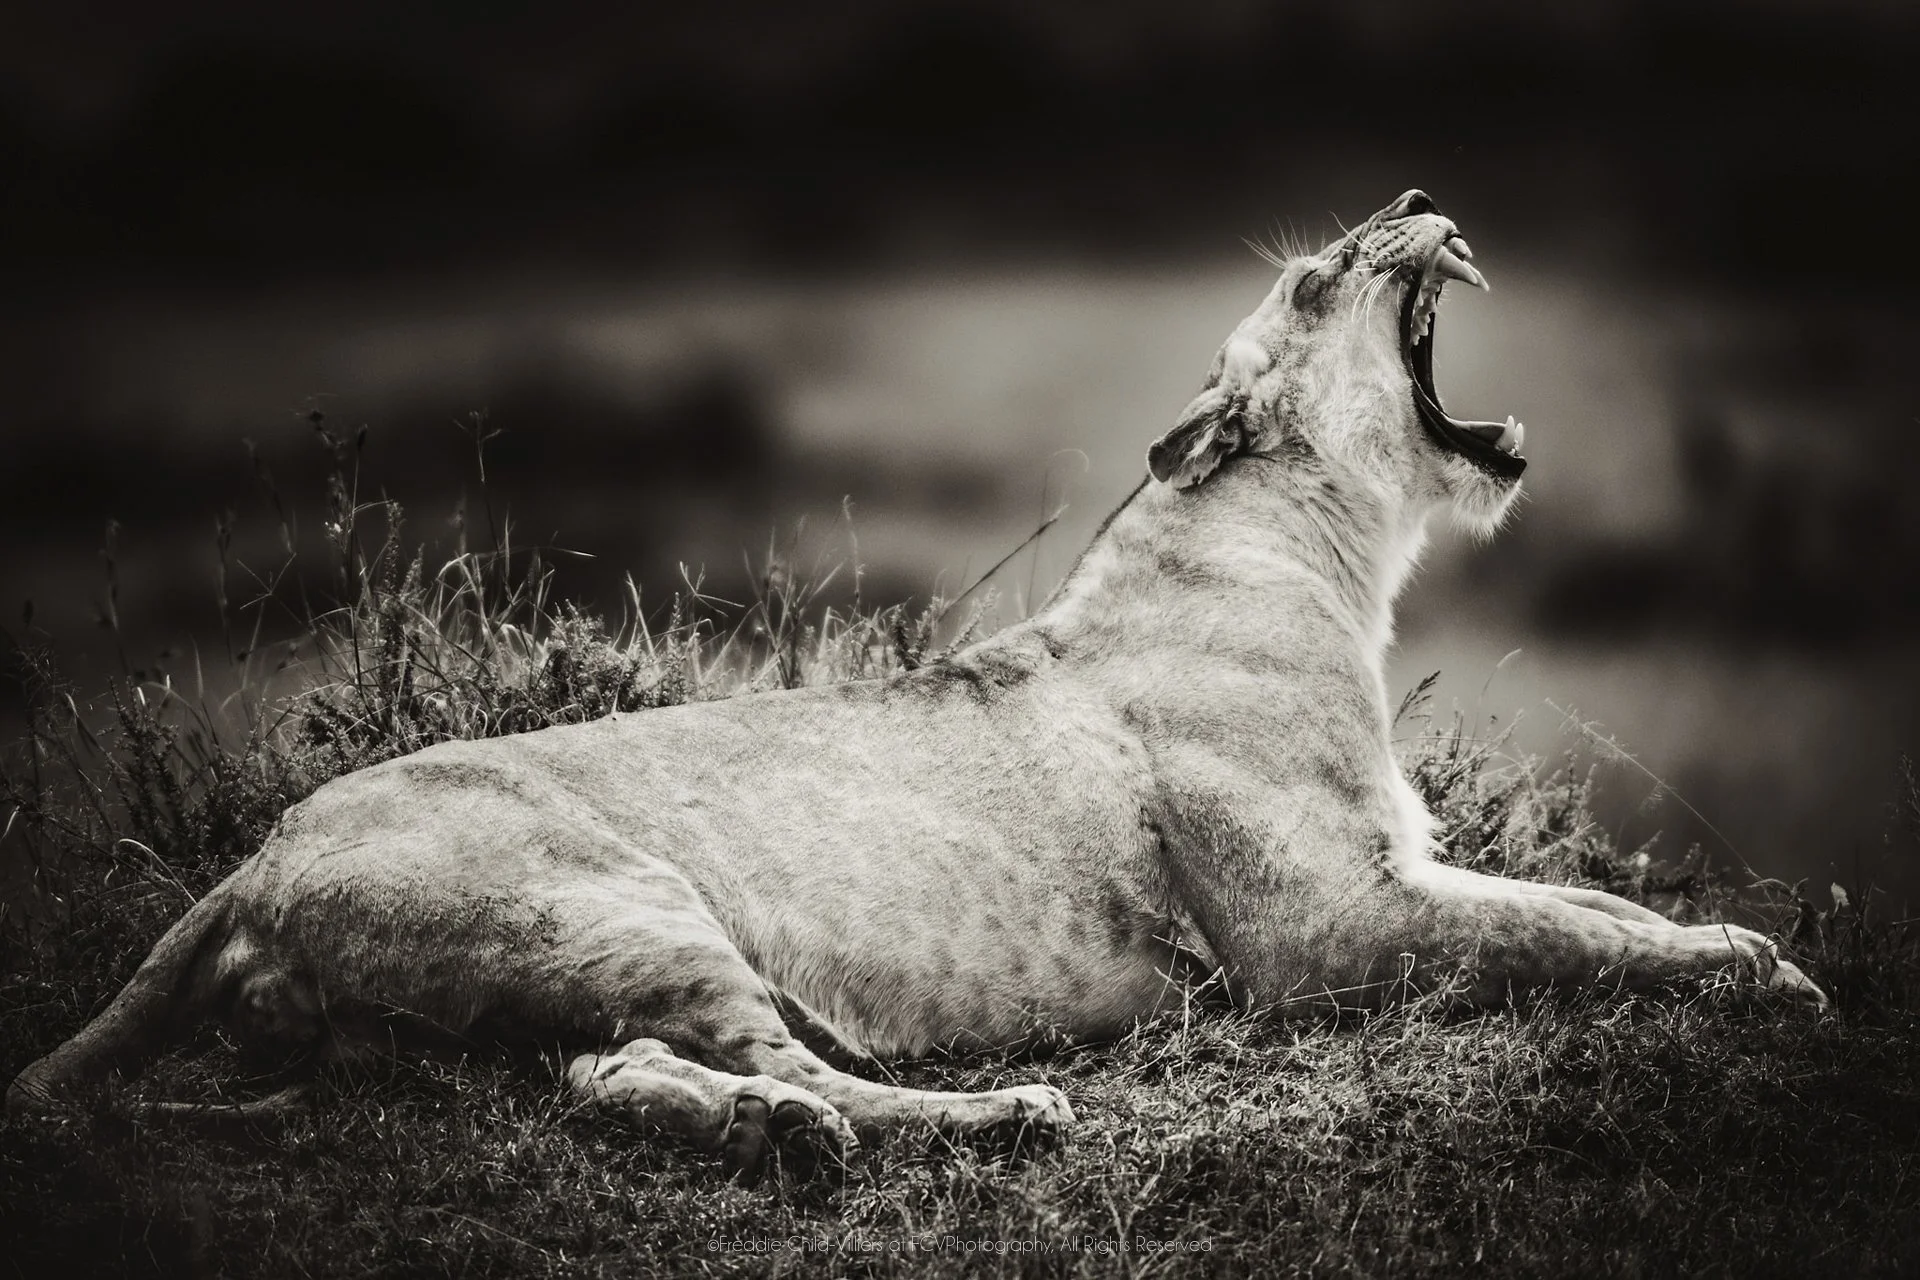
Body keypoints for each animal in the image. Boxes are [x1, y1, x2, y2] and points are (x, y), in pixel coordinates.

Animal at [7, 189, 1825, 1181]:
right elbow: (1563, 935)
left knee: (608, 1080)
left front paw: (1735, 950)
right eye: (1324, 273)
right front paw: (1755, 968)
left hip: (515, 994)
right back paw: (986, 1118)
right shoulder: (1326, 934)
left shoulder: (1400, 873)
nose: (1422, 199)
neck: (1327, 552)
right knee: (767, 1062)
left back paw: (779, 1139)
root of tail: (252, 861)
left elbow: (1580, 906)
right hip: (618, 905)